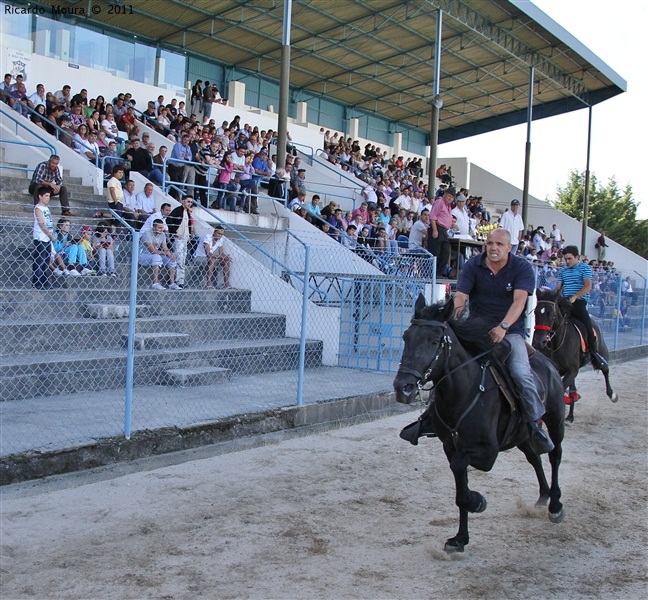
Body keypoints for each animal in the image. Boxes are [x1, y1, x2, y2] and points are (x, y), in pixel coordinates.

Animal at [392, 296, 564, 552]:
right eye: (406, 337)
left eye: (434, 341)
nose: (403, 388)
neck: (465, 390)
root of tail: (548, 362)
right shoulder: (450, 447)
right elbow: (459, 484)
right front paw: (460, 538)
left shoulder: (486, 452)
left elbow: (461, 470)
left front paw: (477, 501)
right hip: (522, 434)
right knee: (534, 457)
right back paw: (543, 496)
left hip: (555, 421)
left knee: (555, 455)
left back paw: (555, 504)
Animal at [536, 290, 620, 422]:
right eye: (535, 312)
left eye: (551, 314)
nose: (539, 341)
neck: (557, 343)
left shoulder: (572, 370)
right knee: (573, 388)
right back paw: (570, 415)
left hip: (602, 352)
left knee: (605, 368)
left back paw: (612, 395)